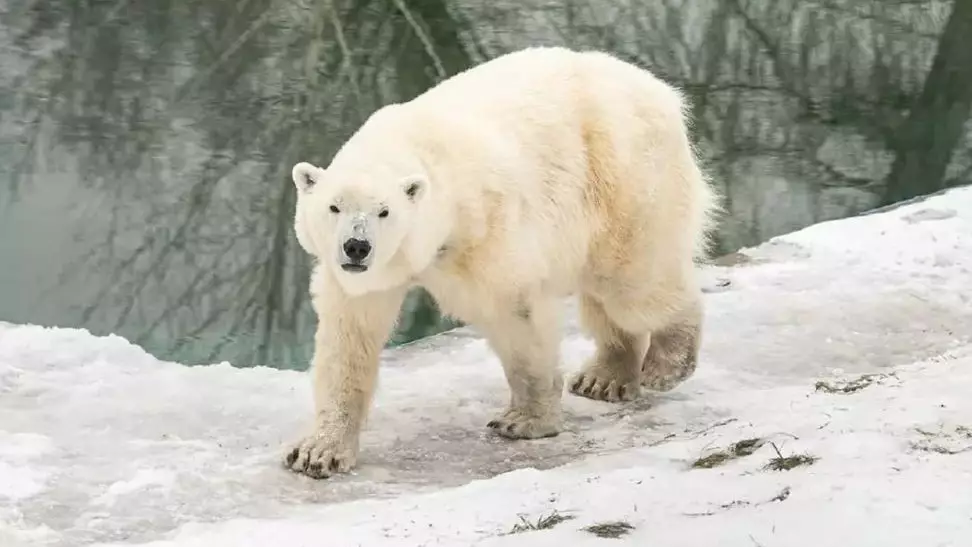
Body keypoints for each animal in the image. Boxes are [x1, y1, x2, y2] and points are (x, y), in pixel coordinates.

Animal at [284, 47, 716, 480]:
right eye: (334, 206)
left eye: (384, 211)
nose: (356, 247)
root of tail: (661, 91)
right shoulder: (360, 278)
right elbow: (349, 339)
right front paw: (317, 452)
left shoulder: (486, 229)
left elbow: (514, 311)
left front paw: (523, 421)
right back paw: (603, 378)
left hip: (624, 176)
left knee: (633, 282)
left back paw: (666, 363)